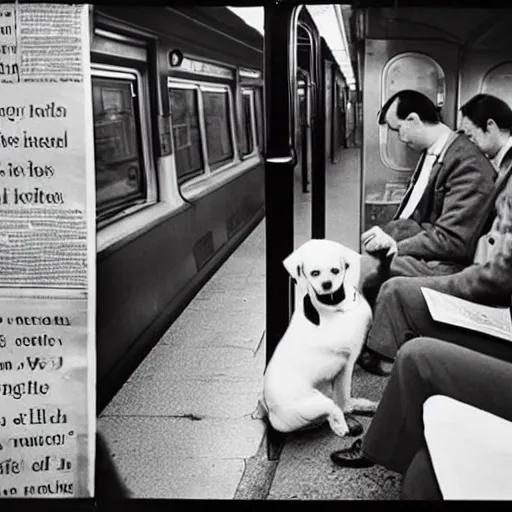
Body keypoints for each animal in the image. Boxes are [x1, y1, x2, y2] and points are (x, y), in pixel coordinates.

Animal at [262, 240, 378, 436]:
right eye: (314, 273)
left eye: (335, 270)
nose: (326, 284)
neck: (334, 305)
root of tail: (271, 412)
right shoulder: (347, 362)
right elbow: (342, 396)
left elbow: (343, 396)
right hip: (314, 402)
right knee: (333, 409)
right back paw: (341, 425)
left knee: (332, 410)